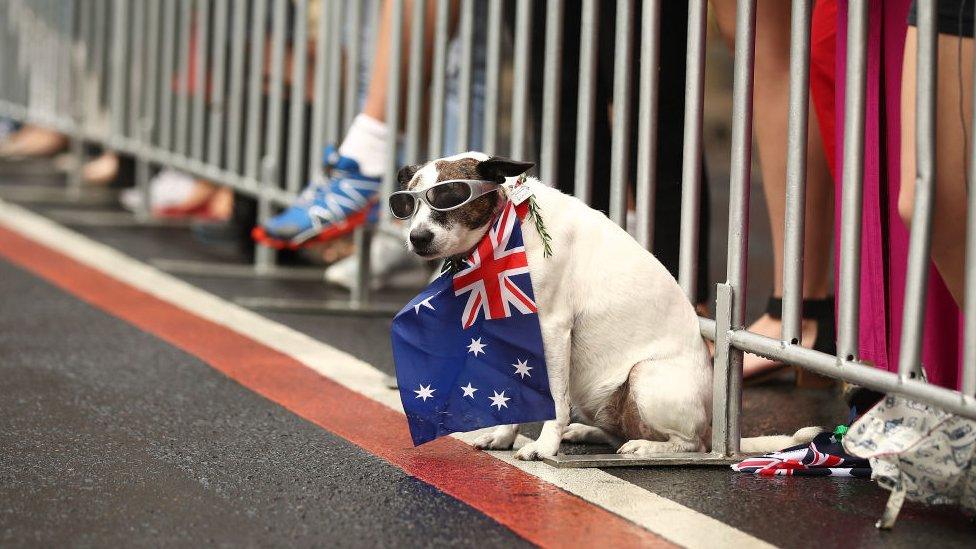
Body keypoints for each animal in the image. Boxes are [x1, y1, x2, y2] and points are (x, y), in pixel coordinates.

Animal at [392, 150, 820, 458]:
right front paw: (503, 436)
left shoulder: (552, 331)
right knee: (618, 432)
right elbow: (516, 396)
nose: (417, 238)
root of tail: (715, 428)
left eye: (449, 197)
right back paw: (586, 431)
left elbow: (554, 400)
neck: (508, 223)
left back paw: (644, 447)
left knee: (688, 444)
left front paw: (544, 447)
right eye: (408, 205)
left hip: (645, 377)